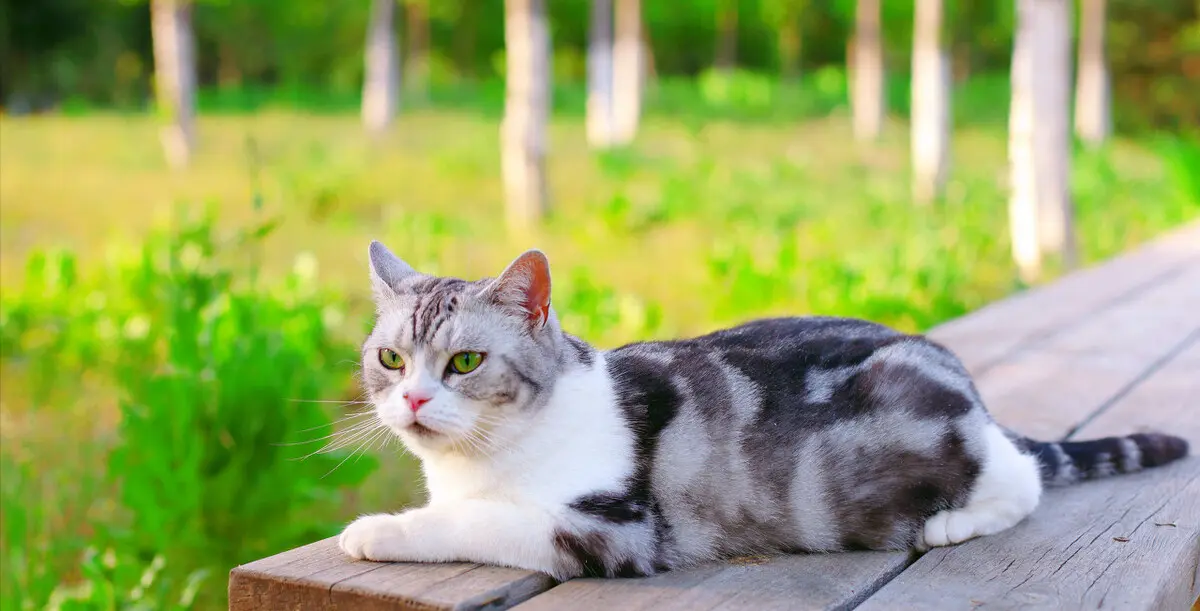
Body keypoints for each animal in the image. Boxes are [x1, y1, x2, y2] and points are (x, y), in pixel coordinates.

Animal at [338, 240, 1190, 578]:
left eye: (465, 362)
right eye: (391, 359)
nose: (413, 397)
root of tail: (965, 383)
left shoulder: (611, 526)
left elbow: (472, 521)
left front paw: (379, 530)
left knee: (1023, 477)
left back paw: (951, 522)